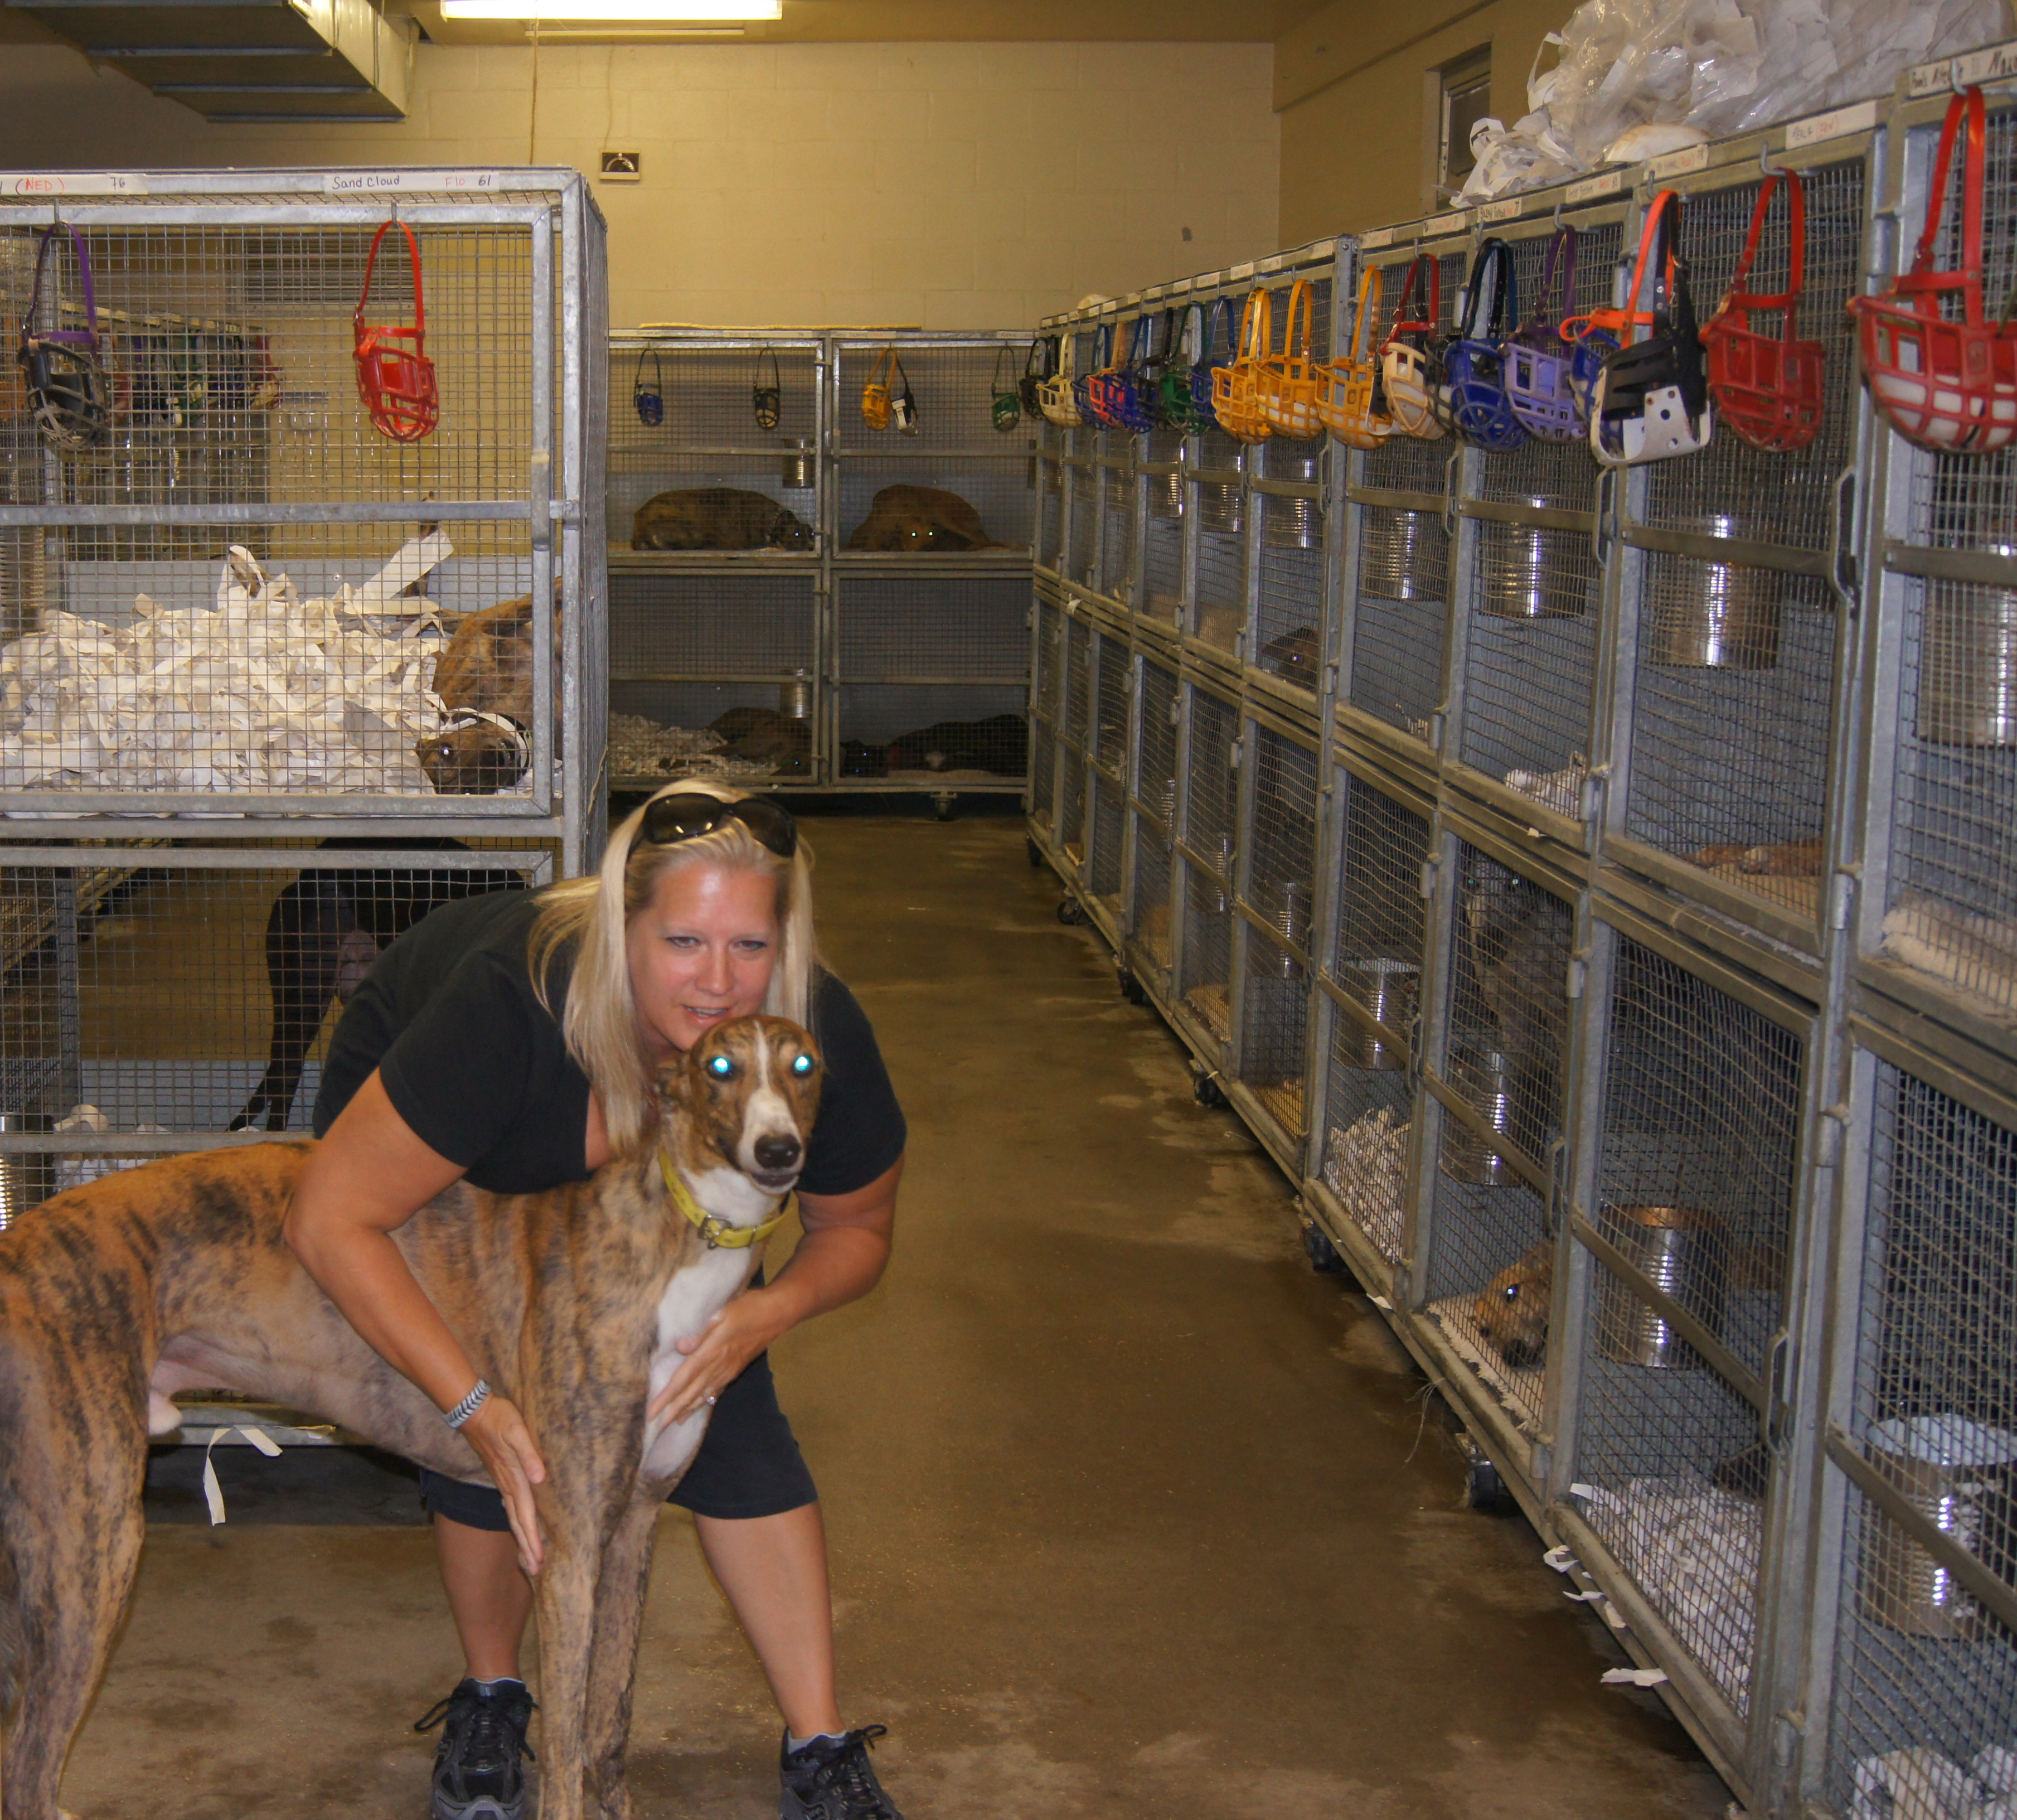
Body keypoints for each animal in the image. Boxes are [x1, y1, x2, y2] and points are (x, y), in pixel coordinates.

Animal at [1468, 851, 1573, 1162]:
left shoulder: (1559, 1010)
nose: (1487, 944)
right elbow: (1521, 1060)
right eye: (1472, 882)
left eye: (1515, 882)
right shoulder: (1509, 1008)